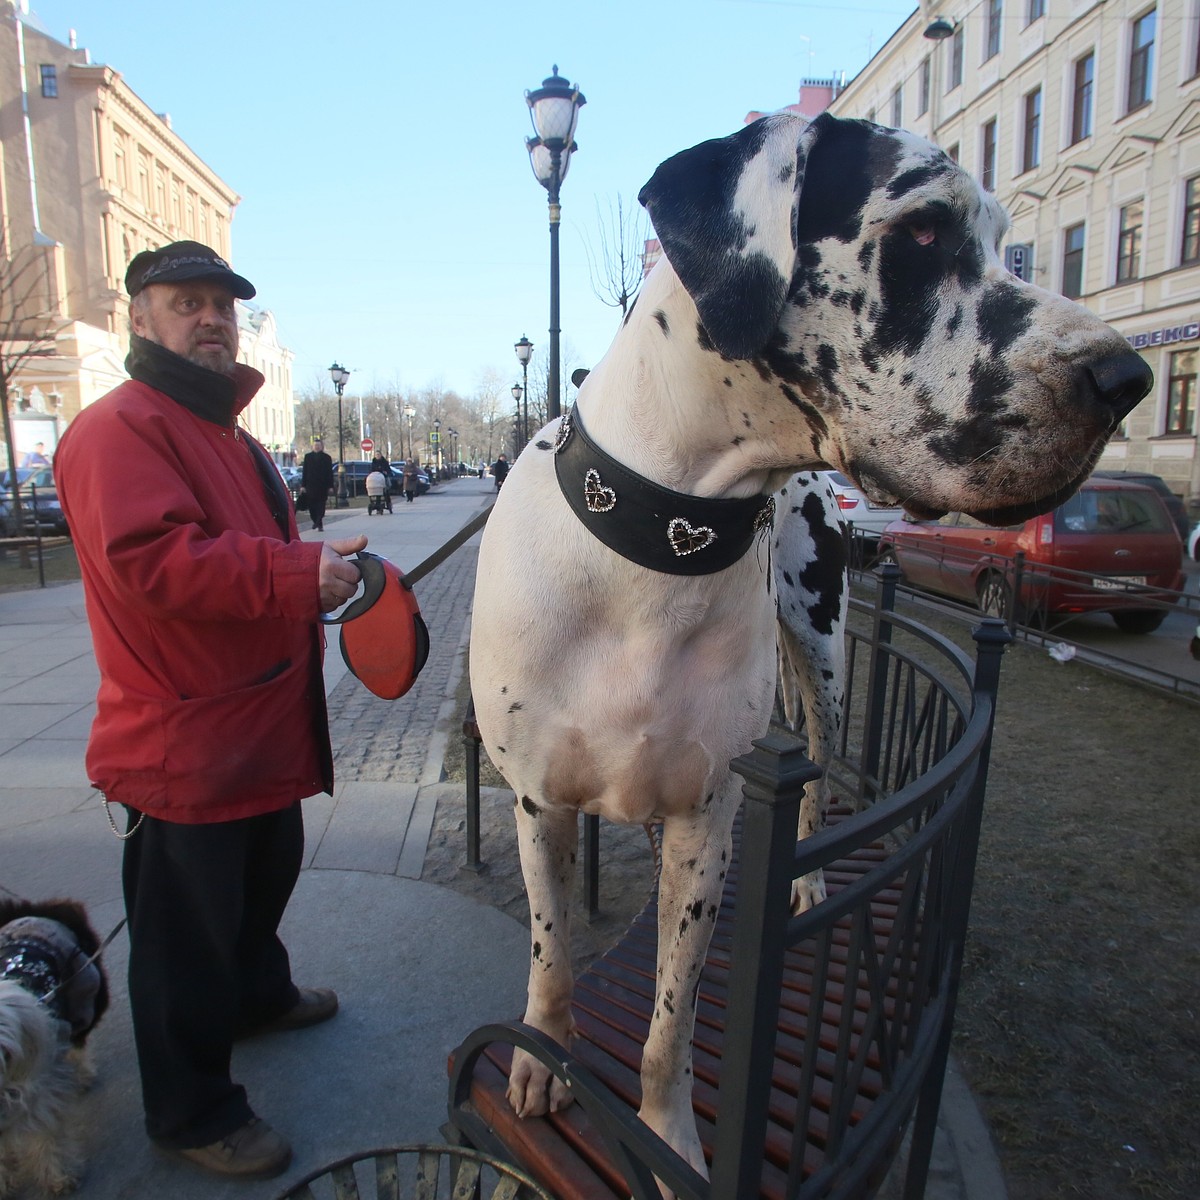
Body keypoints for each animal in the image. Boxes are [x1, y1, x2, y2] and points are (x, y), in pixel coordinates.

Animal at [0, 897, 110, 1195]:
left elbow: (48, 1134)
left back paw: (82, 1075)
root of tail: (35, 910)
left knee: (78, 1043)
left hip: (84, 997)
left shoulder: (43, 1092)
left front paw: (58, 1175)